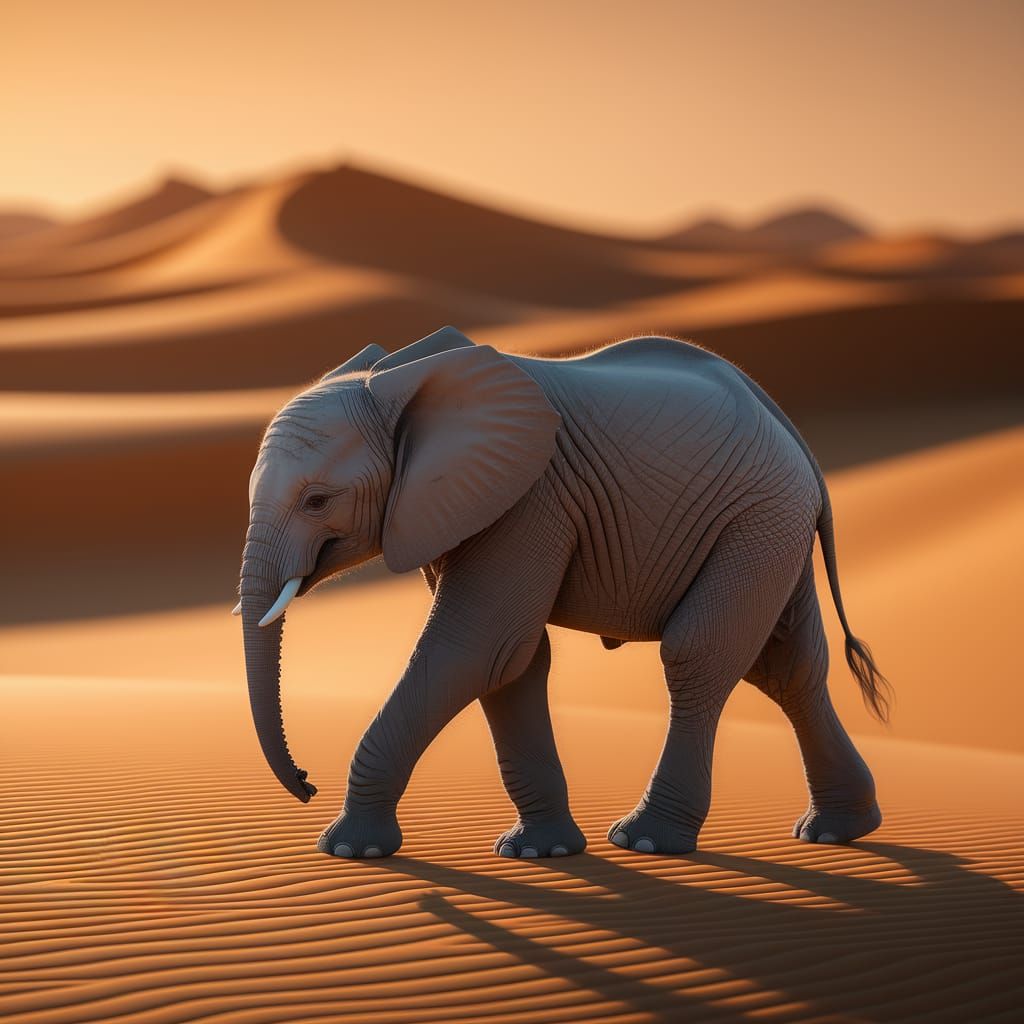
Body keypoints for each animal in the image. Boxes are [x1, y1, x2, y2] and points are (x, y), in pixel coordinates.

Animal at [237, 326, 890, 859]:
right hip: (774, 528)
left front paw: (349, 848)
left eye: (317, 501)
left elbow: (474, 648)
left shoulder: (530, 498)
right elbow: (513, 662)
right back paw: (837, 831)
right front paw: (539, 852)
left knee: (697, 654)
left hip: (757, 518)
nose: (306, 782)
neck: (404, 379)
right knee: (786, 668)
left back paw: (647, 840)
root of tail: (788, 430)